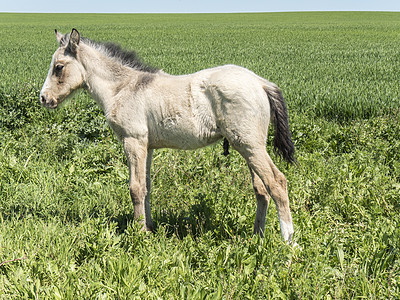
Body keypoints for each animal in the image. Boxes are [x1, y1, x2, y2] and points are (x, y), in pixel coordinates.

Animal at [40, 28, 296, 244]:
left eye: (59, 67)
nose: (44, 98)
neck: (123, 88)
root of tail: (261, 83)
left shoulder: (133, 141)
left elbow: (135, 188)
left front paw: (139, 234)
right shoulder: (148, 147)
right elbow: (146, 187)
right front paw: (150, 227)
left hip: (250, 146)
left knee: (277, 182)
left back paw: (289, 243)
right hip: (249, 147)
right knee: (261, 189)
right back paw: (257, 238)